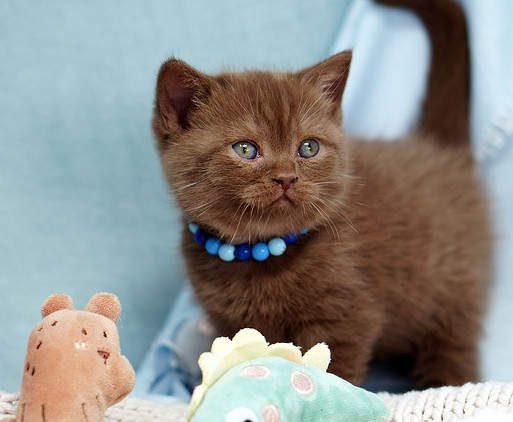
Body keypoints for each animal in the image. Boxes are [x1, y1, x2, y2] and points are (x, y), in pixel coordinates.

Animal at [153, 0, 492, 390]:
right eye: (246, 149)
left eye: (308, 147)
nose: (286, 178)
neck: (261, 258)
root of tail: (439, 149)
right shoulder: (230, 321)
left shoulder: (346, 316)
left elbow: (333, 369)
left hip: (453, 295)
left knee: (453, 349)